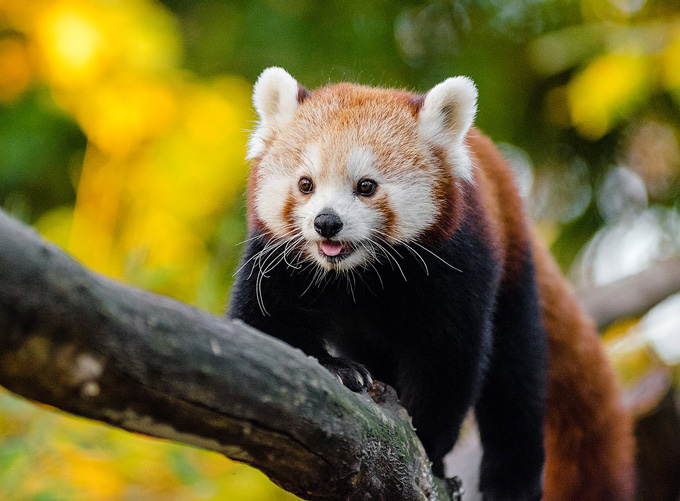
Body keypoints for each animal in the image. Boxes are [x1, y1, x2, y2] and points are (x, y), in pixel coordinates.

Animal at [227, 67, 632, 500]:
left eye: (366, 186)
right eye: (306, 184)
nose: (326, 222)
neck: (358, 273)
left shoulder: (457, 262)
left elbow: (448, 359)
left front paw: (428, 448)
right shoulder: (276, 259)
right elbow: (264, 328)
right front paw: (338, 368)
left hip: (514, 269)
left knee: (515, 375)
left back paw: (512, 479)